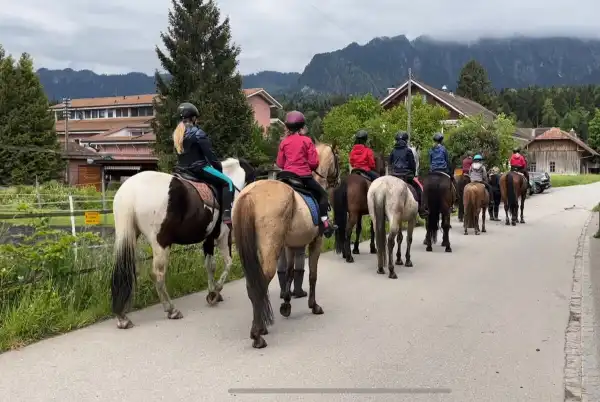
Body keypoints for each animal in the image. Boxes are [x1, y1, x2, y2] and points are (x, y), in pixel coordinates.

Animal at [110, 158, 255, 330]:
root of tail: (131, 191)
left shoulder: (208, 239)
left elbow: (210, 265)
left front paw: (213, 292)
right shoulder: (223, 236)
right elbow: (228, 263)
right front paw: (215, 293)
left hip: (128, 235)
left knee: (125, 269)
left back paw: (122, 316)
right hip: (161, 242)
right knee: (157, 274)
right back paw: (171, 310)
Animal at [232, 141, 340, 348]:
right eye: (337, 160)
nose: (336, 182)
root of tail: (250, 194)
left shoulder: (290, 245)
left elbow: (290, 273)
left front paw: (286, 305)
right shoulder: (316, 242)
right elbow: (312, 275)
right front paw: (314, 305)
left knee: (253, 285)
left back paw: (260, 327)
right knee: (261, 283)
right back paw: (258, 334)